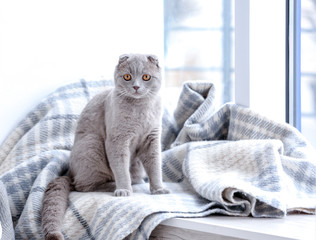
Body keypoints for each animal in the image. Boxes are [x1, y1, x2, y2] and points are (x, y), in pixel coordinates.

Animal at [43, 54, 170, 240]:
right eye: (127, 77)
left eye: (146, 77)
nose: (136, 86)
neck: (140, 109)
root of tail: (69, 172)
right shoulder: (117, 140)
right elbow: (121, 168)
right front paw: (124, 190)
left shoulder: (152, 139)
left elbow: (154, 167)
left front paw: (159, 189)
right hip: (92, 143)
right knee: (83, 186)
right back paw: (116, 185)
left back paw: (136, 182)